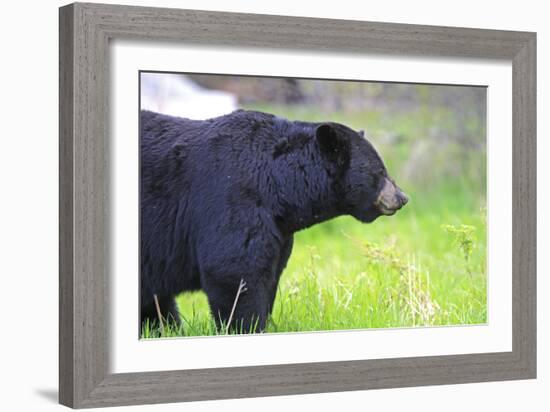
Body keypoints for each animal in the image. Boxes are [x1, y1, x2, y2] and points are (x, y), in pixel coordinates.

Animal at [142, 108, 410, 332]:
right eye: (380, 171)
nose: (402, 197)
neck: (278, 184)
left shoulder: (278, 231)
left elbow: (269, 272)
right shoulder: (233, 200)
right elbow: (234, 269)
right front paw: (247, 326)